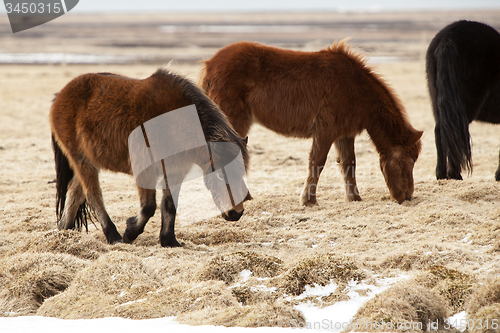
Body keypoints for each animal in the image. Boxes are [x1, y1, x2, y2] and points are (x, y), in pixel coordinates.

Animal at [50, 68, 250, 245]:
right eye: (220, 175)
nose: (236, 213)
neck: (174, 122)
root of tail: (60, 95)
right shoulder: (146, 170)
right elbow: (148, 207)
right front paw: (130, 231)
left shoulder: (175, 171)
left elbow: (169, 204)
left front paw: (169, 241)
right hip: (82, 161)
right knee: (93, 197)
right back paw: (113, 236)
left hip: (89, 161)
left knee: (75, 192)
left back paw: (65, 231)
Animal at [200, 39, 422, 205]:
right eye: (410, 160)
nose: (407, 196)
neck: (354, 87)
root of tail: (210, 65)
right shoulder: (325, 131)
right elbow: (317, 162)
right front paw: (309, 201)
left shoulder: (344, 134)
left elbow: (349, 164)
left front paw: (354, 198)